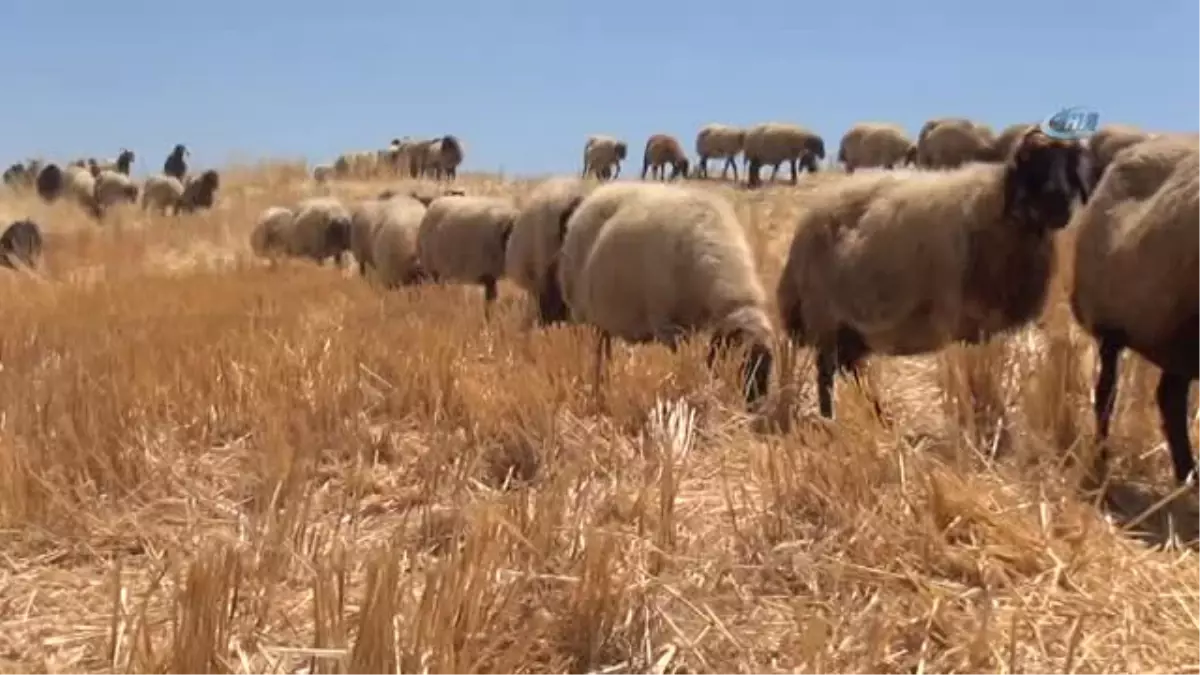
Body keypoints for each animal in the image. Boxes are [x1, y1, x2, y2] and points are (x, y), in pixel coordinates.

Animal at [554, 181, 772, 408]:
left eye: (768, 364)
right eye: (742, 361)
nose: (756, 406)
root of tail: (593, 196)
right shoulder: (667, 326)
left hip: (603, 320)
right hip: (583, 314)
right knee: (595, 356)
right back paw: (598, 391)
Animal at [772, 126, 1094, 415]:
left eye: (1070, 163)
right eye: (1031, 162)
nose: (1059, 203)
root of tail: (805, 228)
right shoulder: (961, 319)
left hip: (852, 328)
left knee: (849, 370)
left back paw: (877, 413)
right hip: (824, 317)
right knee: (826, 375)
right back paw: (831, 418)